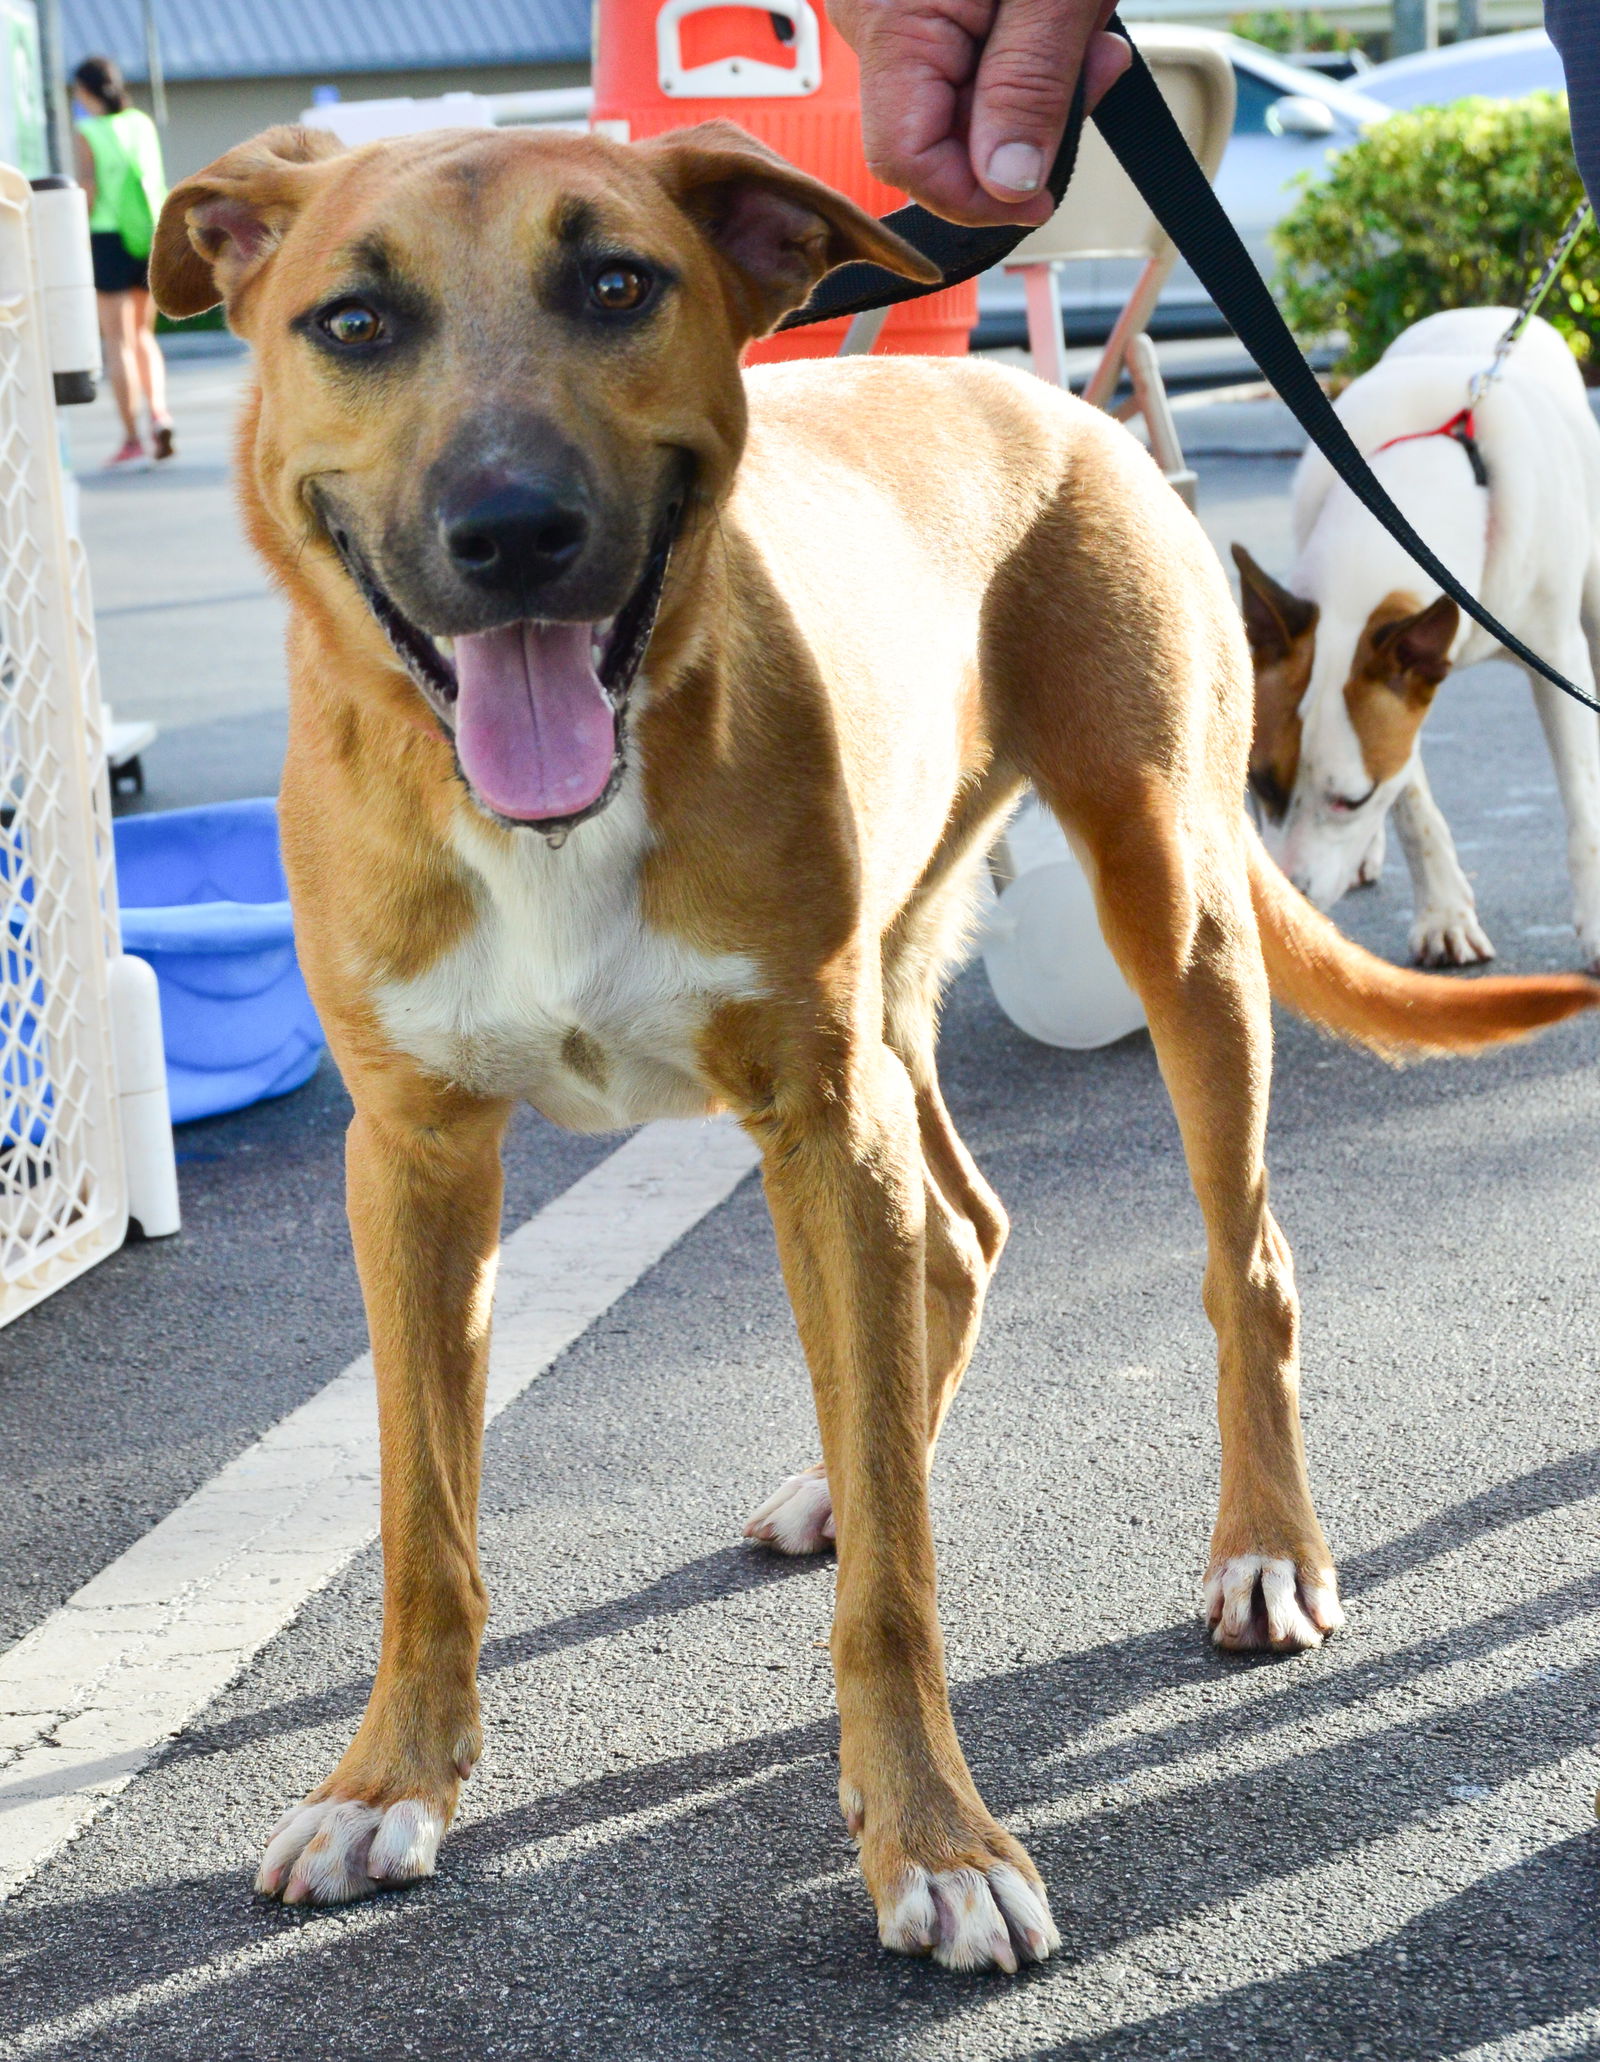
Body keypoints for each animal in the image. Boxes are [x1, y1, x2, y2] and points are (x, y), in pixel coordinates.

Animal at [1245, 309, 1600, 969]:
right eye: (1259, 783)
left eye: (1350, 800)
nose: (1293, 906)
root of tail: (1488, 313)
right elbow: (1412, 804)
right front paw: (1443, 913)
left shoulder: (1557, 658)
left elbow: (1582, 798)